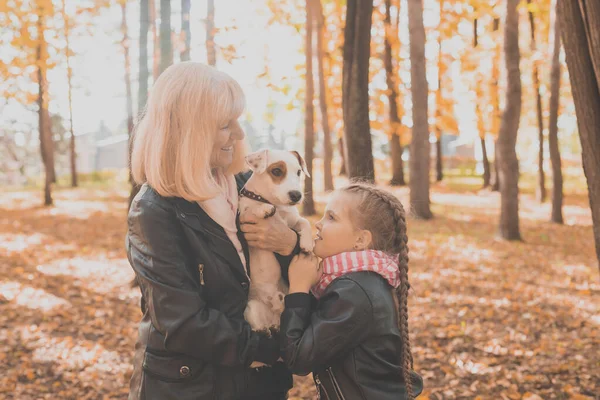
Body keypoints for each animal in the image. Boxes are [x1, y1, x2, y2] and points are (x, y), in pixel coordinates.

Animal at [239, 148, 314, 364]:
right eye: (277, 171)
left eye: (299, 172)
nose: (296, 195)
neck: (277, 205)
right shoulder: (243, 217)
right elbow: (250, 208)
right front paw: (262, 209)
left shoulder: (293, 220)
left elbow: (304, 222)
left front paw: (307, 243)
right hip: (252, 308)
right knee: (259, 327)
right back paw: (266, 329)